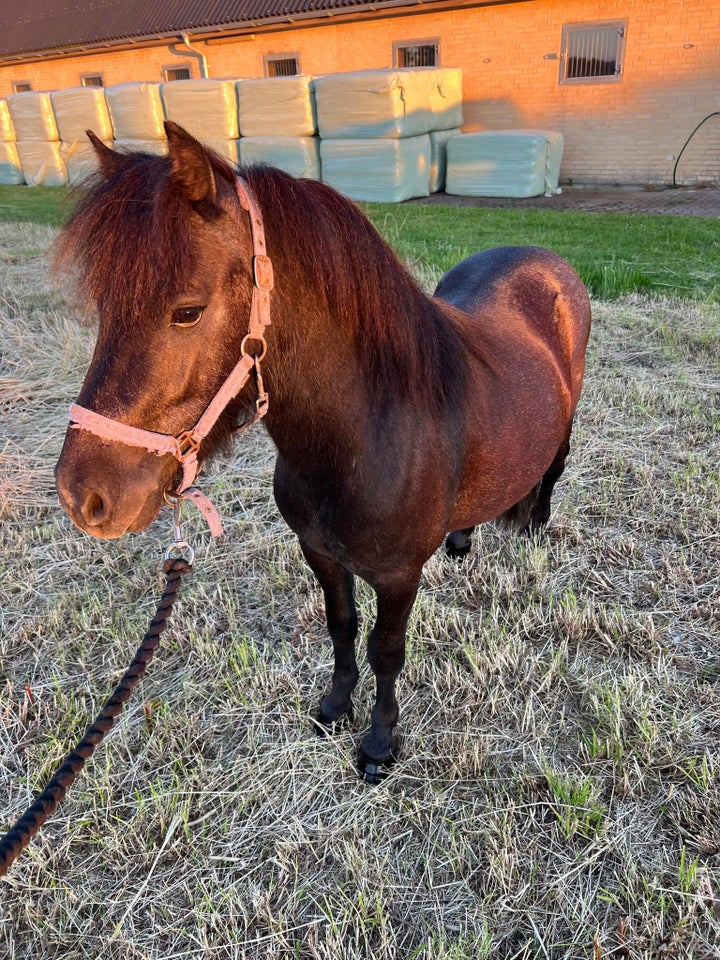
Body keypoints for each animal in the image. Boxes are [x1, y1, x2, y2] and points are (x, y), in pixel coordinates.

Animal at [54, 122, 584, 780]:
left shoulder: (399, 575)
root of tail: (546, 260)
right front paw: (334, 707)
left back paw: (534, 531)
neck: (364, 436)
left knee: (552, 471)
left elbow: (387, 651)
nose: (83, 496)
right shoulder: (321, 553)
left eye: (187, 311)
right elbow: (341, 627)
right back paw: (462, 539)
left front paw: (380, 743)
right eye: (104, 308)